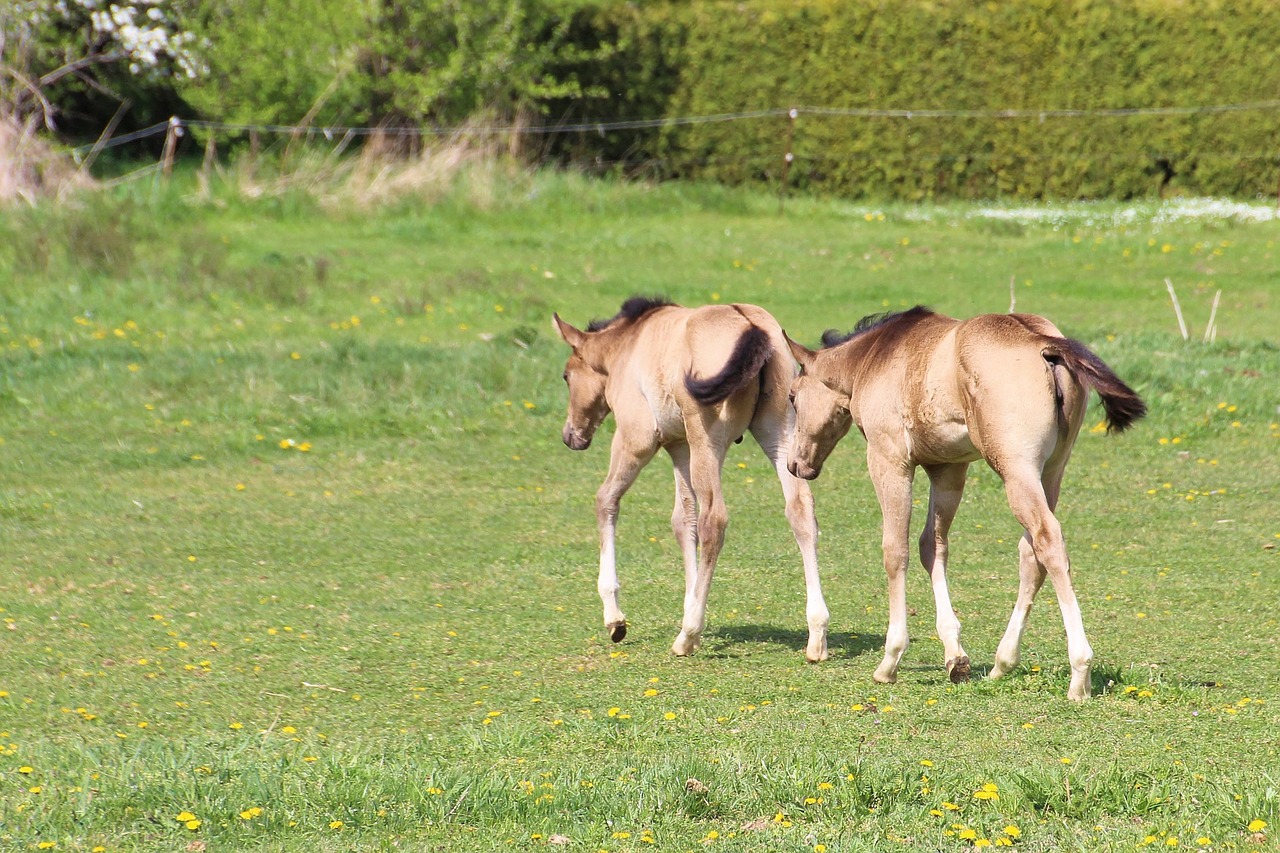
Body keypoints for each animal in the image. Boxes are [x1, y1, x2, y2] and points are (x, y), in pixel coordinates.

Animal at [550, 295, 829, 660]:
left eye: (566, 376)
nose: (571, 436)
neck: (629, 343)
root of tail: (753, 327)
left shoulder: (637, 439)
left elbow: (606, 500)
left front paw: (615, 618)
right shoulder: (679, 446)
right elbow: (683, 521)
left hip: (707, 440)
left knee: (715, 520)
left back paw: (687, 634)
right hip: (779, 431)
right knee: (800, 511)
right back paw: (817, 635)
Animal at [783, 306, 1146, 696]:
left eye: (792, 396)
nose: (795, 465)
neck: (879, 356)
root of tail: (1042, 342)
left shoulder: (889, 460)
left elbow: (896, 551)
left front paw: (891, 658)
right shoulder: (948, 469)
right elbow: (932, 546)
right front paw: (954, 655)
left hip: (1016, 472)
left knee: (1047, 541)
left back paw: (1079, 672)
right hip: (1051, 473)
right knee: (1031, 552)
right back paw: (1003, 662)